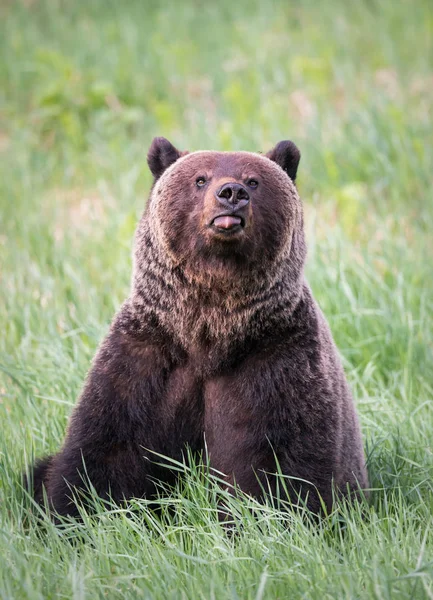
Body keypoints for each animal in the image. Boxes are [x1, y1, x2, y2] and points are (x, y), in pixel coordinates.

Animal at [28, 136, 366, 516]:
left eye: (253, 181)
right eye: (200, 179)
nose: (231, 193)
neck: (209, 332)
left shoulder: (278, 356)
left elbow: (285, 460)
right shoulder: (147, 357)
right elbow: (106, 448)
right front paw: (78, 510)